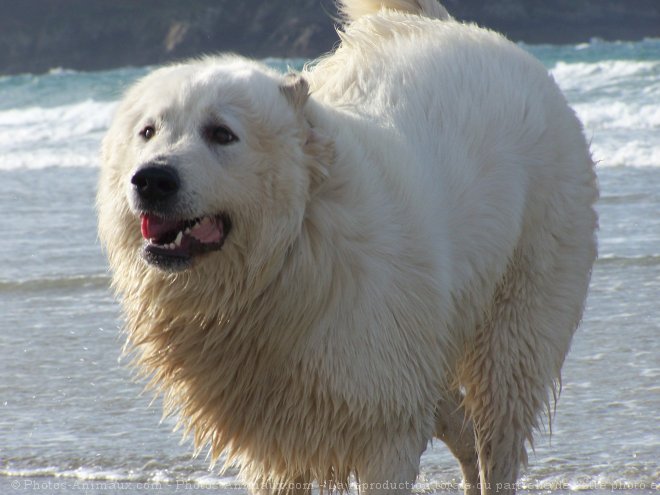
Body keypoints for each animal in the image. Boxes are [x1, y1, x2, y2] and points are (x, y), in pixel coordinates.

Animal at [96, 1, 600, 494]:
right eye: (148, 131)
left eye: (221, 133)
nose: (151, 179)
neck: (292, 244)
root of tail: (475, 32)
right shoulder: (273, 435)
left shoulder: (383, 422)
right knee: (459, 423)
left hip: (519, 317)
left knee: (498, 427)